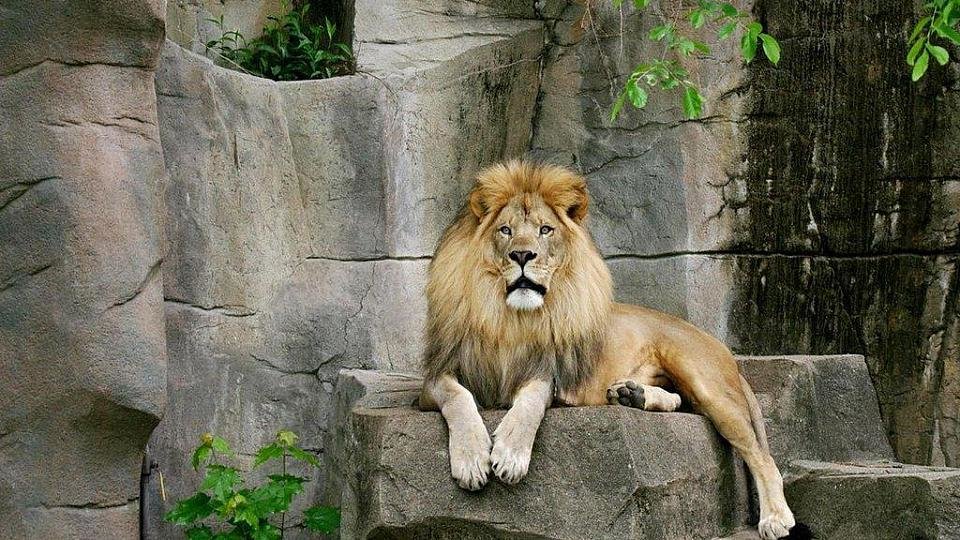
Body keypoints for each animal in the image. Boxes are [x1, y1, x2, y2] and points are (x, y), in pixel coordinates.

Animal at [419, 161, 806, 540]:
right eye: (505, 230)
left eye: (545, 230)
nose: (522, 255)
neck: (510, 319)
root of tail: (719, 344)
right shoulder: (435, 377)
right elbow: (457, 396)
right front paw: (471, 460)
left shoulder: (550, 373)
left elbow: (530, 400)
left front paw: (511, 454)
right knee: (682, 402)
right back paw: (632, 395)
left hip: (704, 380)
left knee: (761, 456)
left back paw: (775, 518)